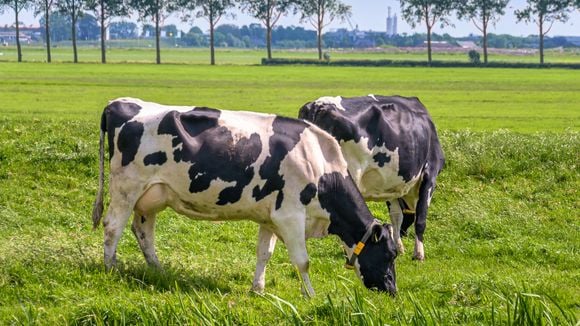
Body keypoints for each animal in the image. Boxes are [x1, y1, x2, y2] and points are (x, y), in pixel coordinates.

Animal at [92, 97, 398, 296]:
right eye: (389, 253)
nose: (392, 290)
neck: (320, 164)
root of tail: (118, 102)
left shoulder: (270, 217)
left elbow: (265, 253)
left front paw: (257, 289)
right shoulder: (290, 216)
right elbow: (302, 260)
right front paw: (310, 295)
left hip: (152, 195)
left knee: (143, 230)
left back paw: (158, 270)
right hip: (126, 187)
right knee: (112, 227)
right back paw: (110, 268)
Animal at [300, 95, 444, 262]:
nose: (404, 234)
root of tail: (319, 105)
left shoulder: (392, 186)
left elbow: (396, 217)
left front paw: (399, 247)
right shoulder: (430, 174)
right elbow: (420, 218)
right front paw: (419, 254)